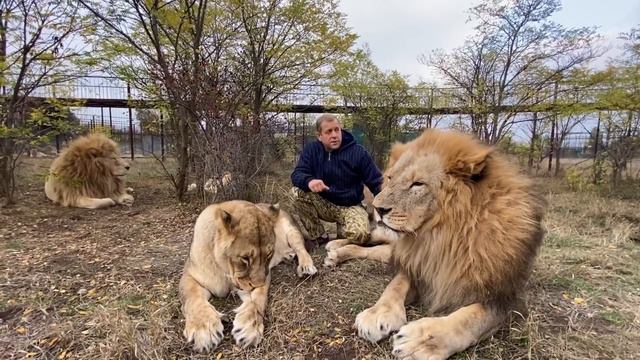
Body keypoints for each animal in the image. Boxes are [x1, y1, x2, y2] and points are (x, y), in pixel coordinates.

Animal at [178, 200, 318, 352]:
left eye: (269, 254)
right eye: (245, 258)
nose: (257, 284)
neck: (226, 272)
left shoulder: (264, 276)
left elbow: (258, 301)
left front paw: (248, 329)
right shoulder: (189, 276)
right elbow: (193, 299)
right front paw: (205, 330)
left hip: (292, 231)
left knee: (301, 248)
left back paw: (306, 267)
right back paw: (289, 256)